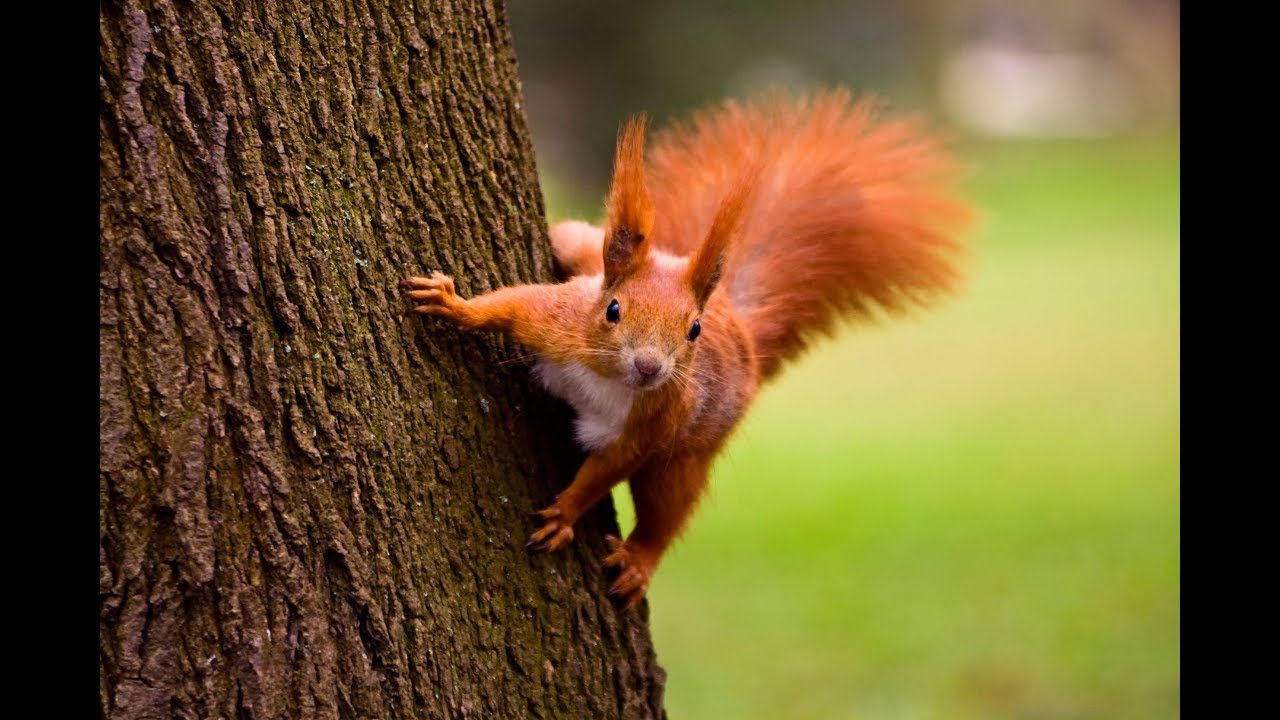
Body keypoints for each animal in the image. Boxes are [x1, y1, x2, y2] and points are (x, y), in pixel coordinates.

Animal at [401, 89, 969, 609]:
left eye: (693, 330)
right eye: (612, 310)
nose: (650, 367)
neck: (608, 378)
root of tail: (740, 328)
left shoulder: (654, 423)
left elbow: (606, 470)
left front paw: (565, 513)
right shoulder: (557, 323)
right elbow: (510, 305)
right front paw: (453, 304)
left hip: (688, 455)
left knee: (667, 508)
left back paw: (639, 560)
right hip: (582, 251)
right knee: (573, 240)